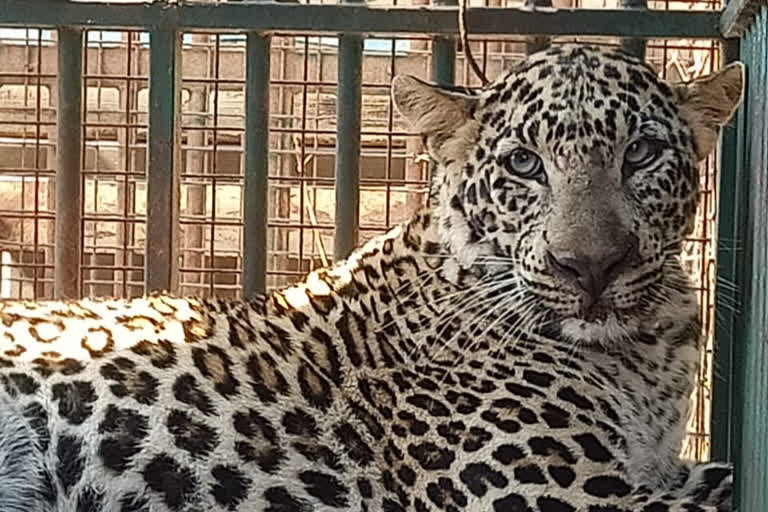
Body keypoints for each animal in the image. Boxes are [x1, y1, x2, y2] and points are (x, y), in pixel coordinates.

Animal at [0, 45, 744, 512]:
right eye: (524, 164)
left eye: (641, 154)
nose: (591, 265)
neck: (641, 353)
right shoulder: (557, 492)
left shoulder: (654, 466)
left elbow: (719, 474)